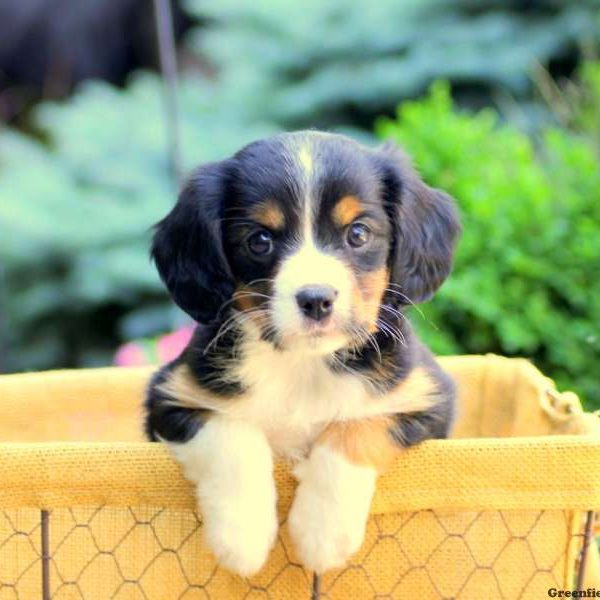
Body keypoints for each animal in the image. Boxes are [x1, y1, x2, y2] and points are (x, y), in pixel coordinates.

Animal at [144, 131, 460, 576]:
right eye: (260, 240)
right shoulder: (172, 396)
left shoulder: (425, 397)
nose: (316, 300)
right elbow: (231, 433)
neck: (302, 364)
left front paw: (322, 534)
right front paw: (241, 538)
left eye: (358, 234)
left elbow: (352, 431)